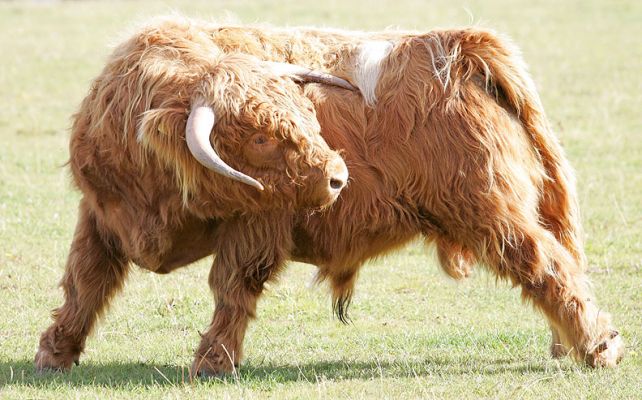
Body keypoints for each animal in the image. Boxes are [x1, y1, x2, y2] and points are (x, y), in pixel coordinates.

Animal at [34, 19, 352, 373]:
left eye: (310, 115)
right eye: (259, 138)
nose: (338, 177)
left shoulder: (257, 222)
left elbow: (234, 285)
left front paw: (212, 363)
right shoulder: (98, 213)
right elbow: (85, 280)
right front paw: (54, 355)